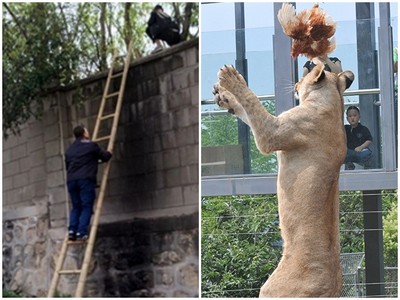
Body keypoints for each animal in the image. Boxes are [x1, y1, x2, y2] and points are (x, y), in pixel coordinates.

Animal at [214, 64, 354, 296]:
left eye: (304, 76)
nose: (295, 82)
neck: (332, 100)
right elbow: (246, 111)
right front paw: (225, 98)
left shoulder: (272, 133)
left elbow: (252, 103)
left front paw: (231, 78)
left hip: (270, 290)